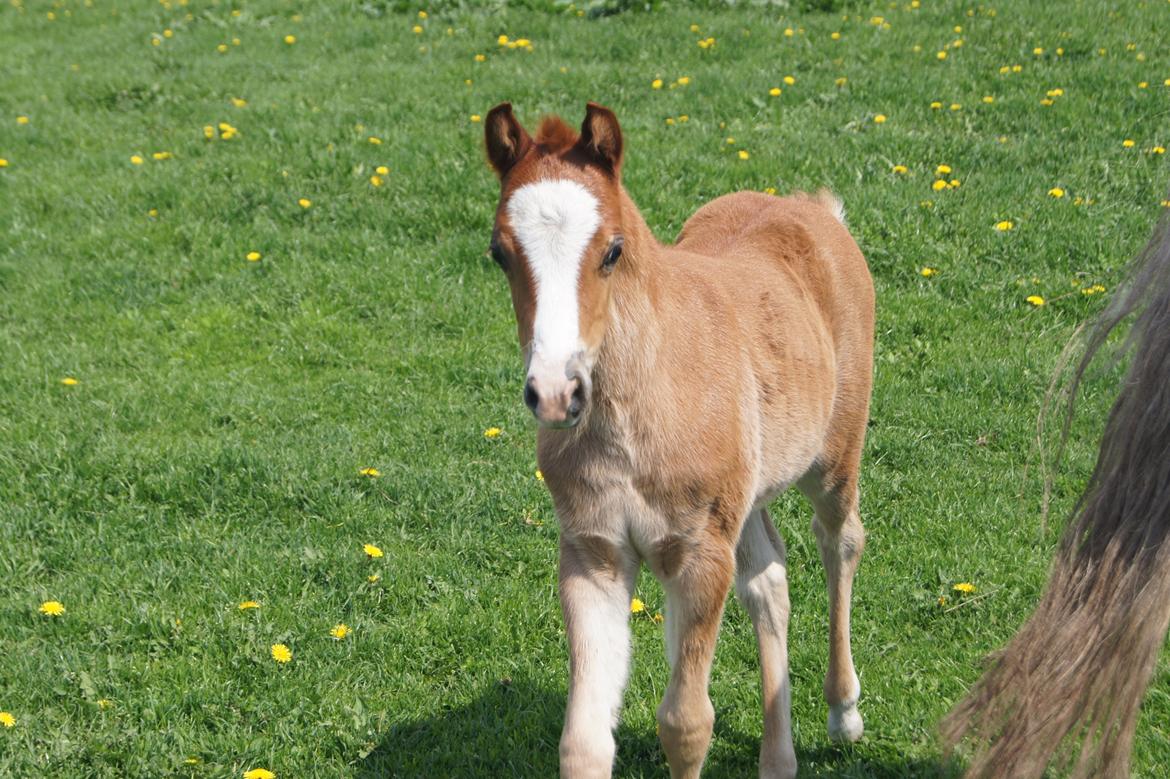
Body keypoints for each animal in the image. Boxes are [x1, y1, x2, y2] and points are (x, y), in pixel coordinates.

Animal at [482, 101, 875, 779]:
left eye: (612, 251)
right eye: (499, 253)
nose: (557, 392)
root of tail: (813, 207)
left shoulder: (698, 554)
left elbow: (687, 724)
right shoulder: (594, 553)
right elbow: (583, 741)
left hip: (832, 459)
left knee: (840, 540)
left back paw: (844, 711)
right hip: (747, 492)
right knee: (769, 578)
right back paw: (779, 760)